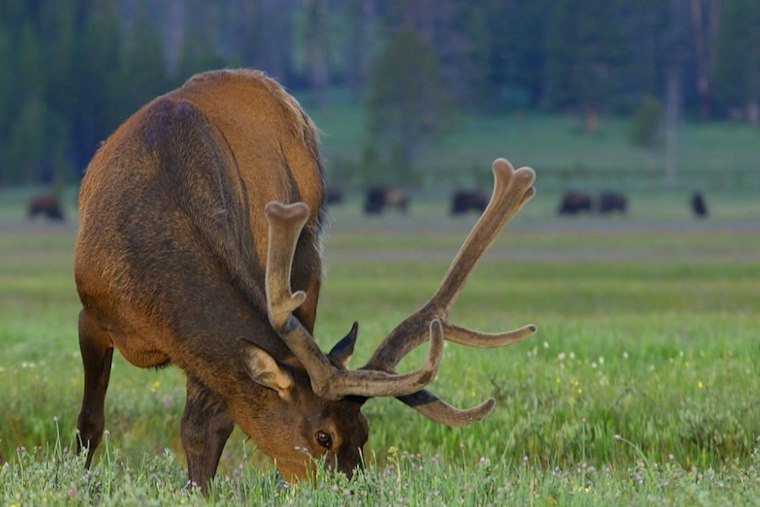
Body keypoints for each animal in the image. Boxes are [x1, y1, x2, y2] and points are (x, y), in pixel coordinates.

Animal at [73, 68, 537, 492]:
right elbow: (90, 422)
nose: (351, 490)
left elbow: (203, 430)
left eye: (365, 433)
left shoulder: (202, 356)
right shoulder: (91, 313)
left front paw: (199, 490)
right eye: (323, 436)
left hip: (307, 262)